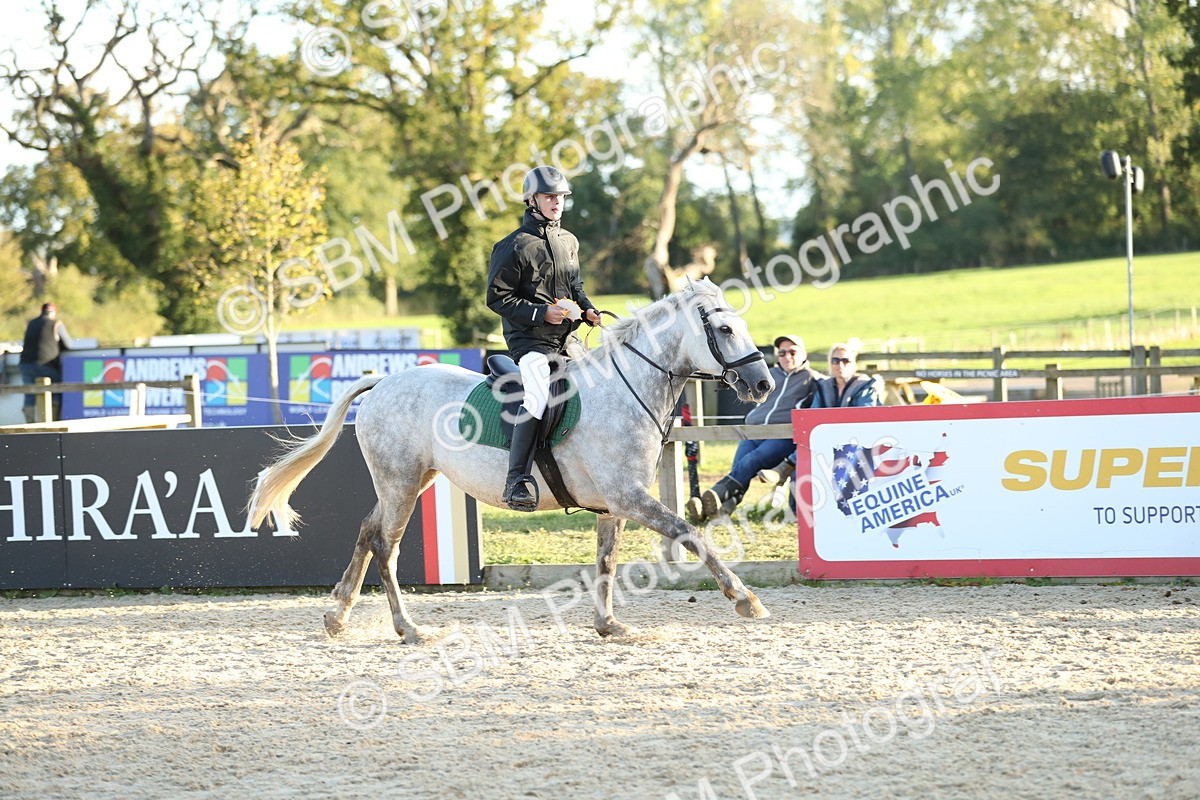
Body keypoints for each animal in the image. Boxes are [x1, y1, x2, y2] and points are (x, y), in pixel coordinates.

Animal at [248, 279, 776, 642]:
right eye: (724, 328)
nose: (764, 384)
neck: (625, 390)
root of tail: (383, 381)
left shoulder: (614, 506)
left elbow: (606, 561)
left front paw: (608, 625)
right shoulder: (630, 499)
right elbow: (692, 535)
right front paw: (745, 599)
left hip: (411, 481)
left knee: (365, 532)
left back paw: (337, 615)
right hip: (400, 485)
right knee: (384, 547)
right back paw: (408, 628)